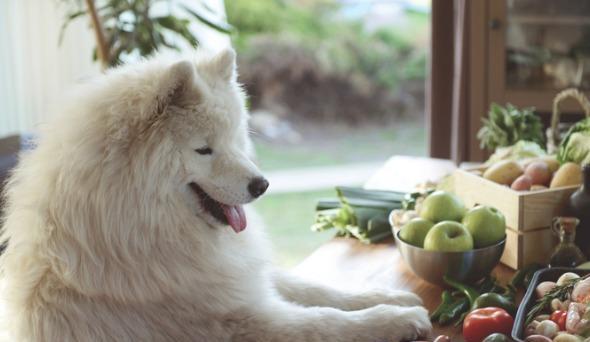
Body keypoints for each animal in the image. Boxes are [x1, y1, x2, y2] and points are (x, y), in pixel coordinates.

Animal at [1, 48, 434, 342]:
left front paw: (388, 297)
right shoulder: (239, 320)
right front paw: (394, 320)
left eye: (235, 139)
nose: (262, 185)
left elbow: (315, 288)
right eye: (204, 150)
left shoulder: (232, 277)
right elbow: (324, 322)